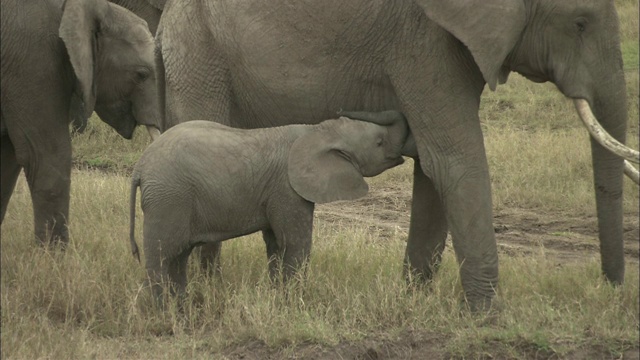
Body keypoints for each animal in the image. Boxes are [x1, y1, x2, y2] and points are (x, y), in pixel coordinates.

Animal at [129, 109, 416, 298]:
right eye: (379, 142)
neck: (316, 131)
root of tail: (140, 167)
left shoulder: (276, 193)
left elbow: (275, 243)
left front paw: (279, 295)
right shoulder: (287, 189)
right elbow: (295, 243)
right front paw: (295, 301)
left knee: (178, 257)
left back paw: (180, 305)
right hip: (169, 199)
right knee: (163, 255)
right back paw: (164, 311)